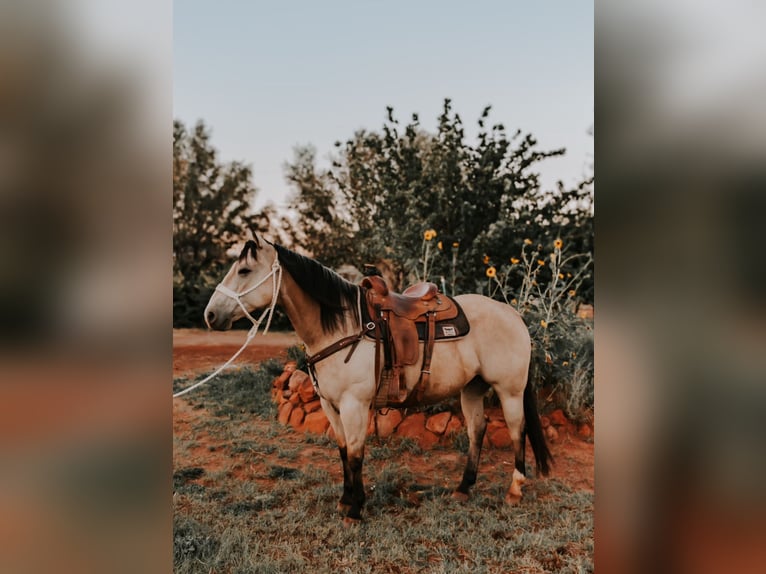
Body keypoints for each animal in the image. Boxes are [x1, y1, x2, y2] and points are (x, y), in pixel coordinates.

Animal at [203, 235, 552, 525]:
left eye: (245, 270)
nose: (209, 315)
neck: (342, 328)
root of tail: (514, 314)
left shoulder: (354, 405)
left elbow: (356, 454)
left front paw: (355, 510)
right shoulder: (330, 406)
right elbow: (343, 450)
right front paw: (345, 501)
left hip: (509, 390)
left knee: (517, 431)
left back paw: (515, 490)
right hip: (472, 388)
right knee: (477, 430)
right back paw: (464, 488)